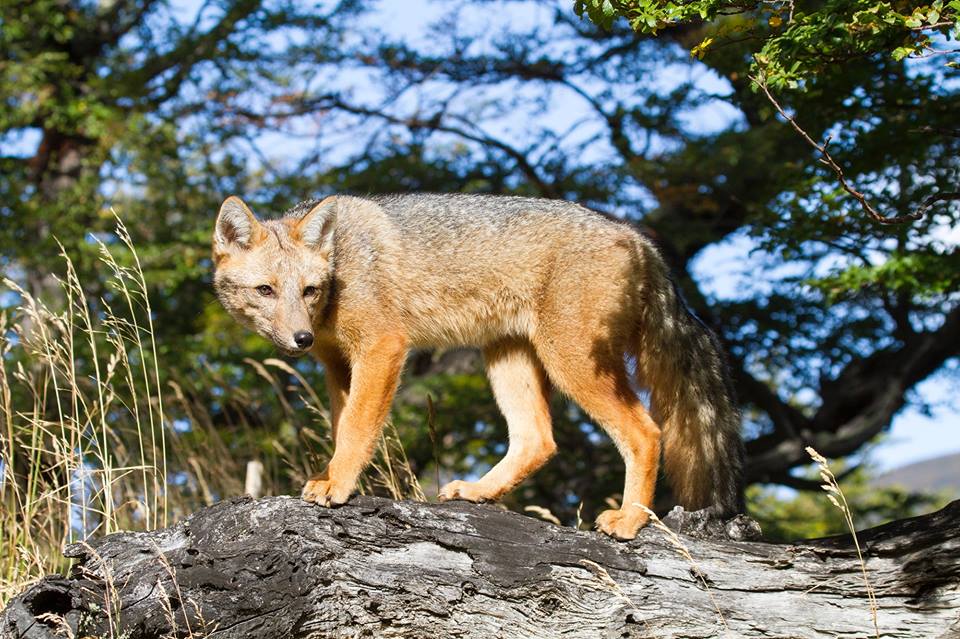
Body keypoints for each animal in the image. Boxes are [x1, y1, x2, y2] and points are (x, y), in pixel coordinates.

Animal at [214, 191, 748, 540]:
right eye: (266, 290)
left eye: (309, 290)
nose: (300, 338)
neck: (342, 265)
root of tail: (639, 238)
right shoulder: (336, 365)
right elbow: (344, 431)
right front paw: (334, 477)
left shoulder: (383, 348)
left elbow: (356, 430)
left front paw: (337, 486)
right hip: (508, 360)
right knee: (538, 440)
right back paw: (479, 492)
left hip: (573, 363)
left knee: (646, 432)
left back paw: (631, 520)